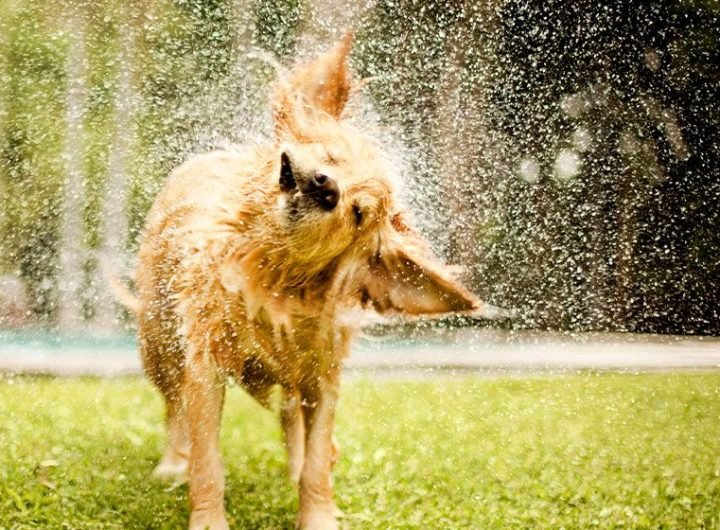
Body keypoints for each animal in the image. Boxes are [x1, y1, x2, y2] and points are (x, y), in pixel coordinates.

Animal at [136, 34, 484, 528]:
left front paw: (318, 513)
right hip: (160, 341)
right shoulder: (206, 362)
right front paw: (208, 516)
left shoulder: (323, 370)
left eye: (358, 214)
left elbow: (318, 459)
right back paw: (171, 463)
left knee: (291, 418)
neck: (271, 273)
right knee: (173, 407)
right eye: (332, 157)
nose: (325, 186)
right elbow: (207, 462)